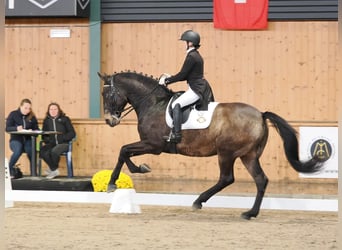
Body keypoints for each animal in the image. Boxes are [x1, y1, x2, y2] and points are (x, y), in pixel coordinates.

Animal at [97, 70, 324, 219]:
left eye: (106, 94)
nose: (109, 120)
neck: (153, 103)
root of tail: (260, 114)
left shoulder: (153, 145)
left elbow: (123, 151)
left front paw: (116, 181)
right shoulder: (150, 145)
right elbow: (125, 152)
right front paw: (137, 170)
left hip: (226, 153)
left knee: (226, 178)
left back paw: (199, 201)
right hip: (248, 155)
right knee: (261, 180)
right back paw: (250, 213)